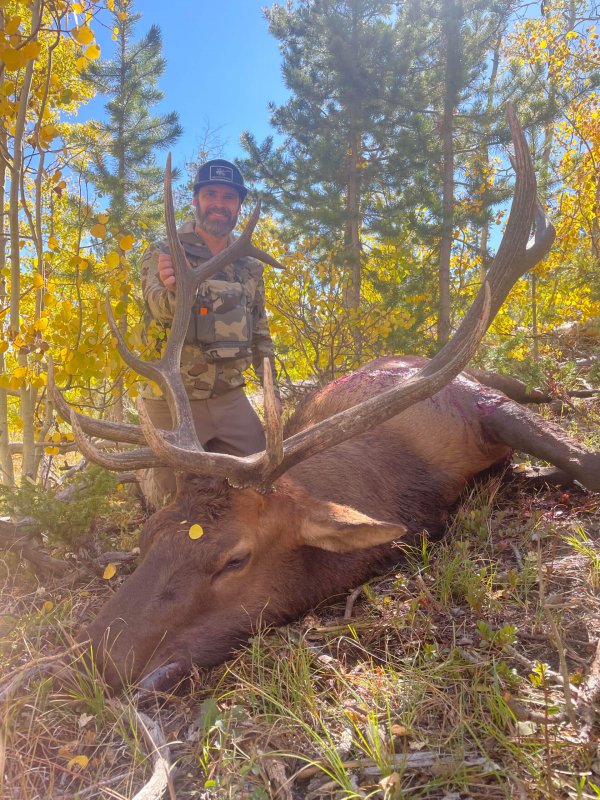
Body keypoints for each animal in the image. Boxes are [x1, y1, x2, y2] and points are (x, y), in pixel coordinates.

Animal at [51, 107, 599, 692]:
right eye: (148, 535)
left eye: (235, 559)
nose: (94, 656)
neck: (414, 476)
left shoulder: (479, 405)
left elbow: (585, 460)